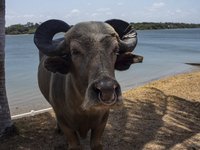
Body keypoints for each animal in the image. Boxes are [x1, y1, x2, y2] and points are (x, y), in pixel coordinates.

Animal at [34, 19, 143, 150]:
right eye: (75, 51)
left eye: (115, 50)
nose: (107, 89)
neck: (83, 110)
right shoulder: (65, 123)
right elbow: (75, 145)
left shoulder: (102, 120)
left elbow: (96, 144)